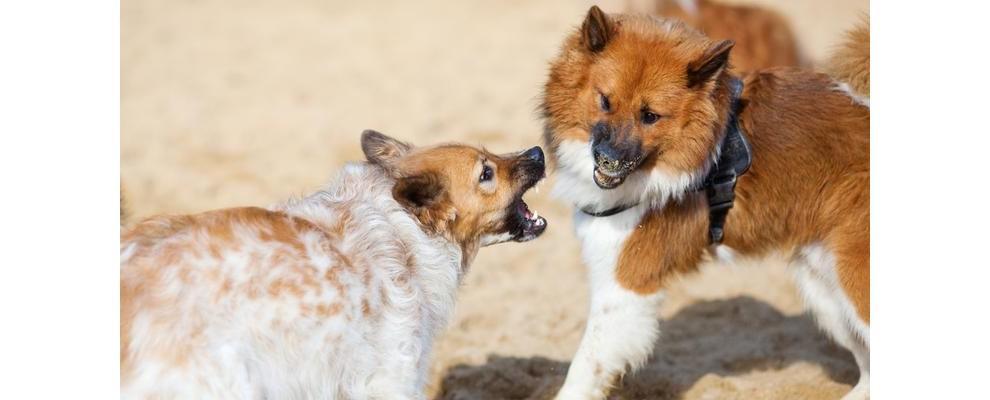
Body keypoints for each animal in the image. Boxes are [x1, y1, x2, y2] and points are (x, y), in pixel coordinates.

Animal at [544, 7, 868, 400]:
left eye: (650, 116)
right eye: (605, 101)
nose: (608, 160)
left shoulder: (626, 286)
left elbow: (585, 367)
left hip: (854, 279)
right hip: (825, 288)